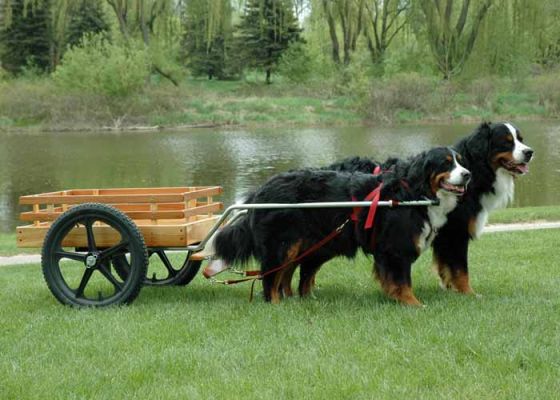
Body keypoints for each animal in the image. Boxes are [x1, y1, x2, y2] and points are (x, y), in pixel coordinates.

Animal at [212, 147, 470, 306]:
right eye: (446, 163)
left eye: (460, 161)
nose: (468, 174)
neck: (415, 193)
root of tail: (262, 188)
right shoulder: (395, 249)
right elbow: (402, 281)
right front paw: (412, 303)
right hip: (282, 245)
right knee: (270, 279)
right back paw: (276, 304)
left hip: (304, 245)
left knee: (287, 274)